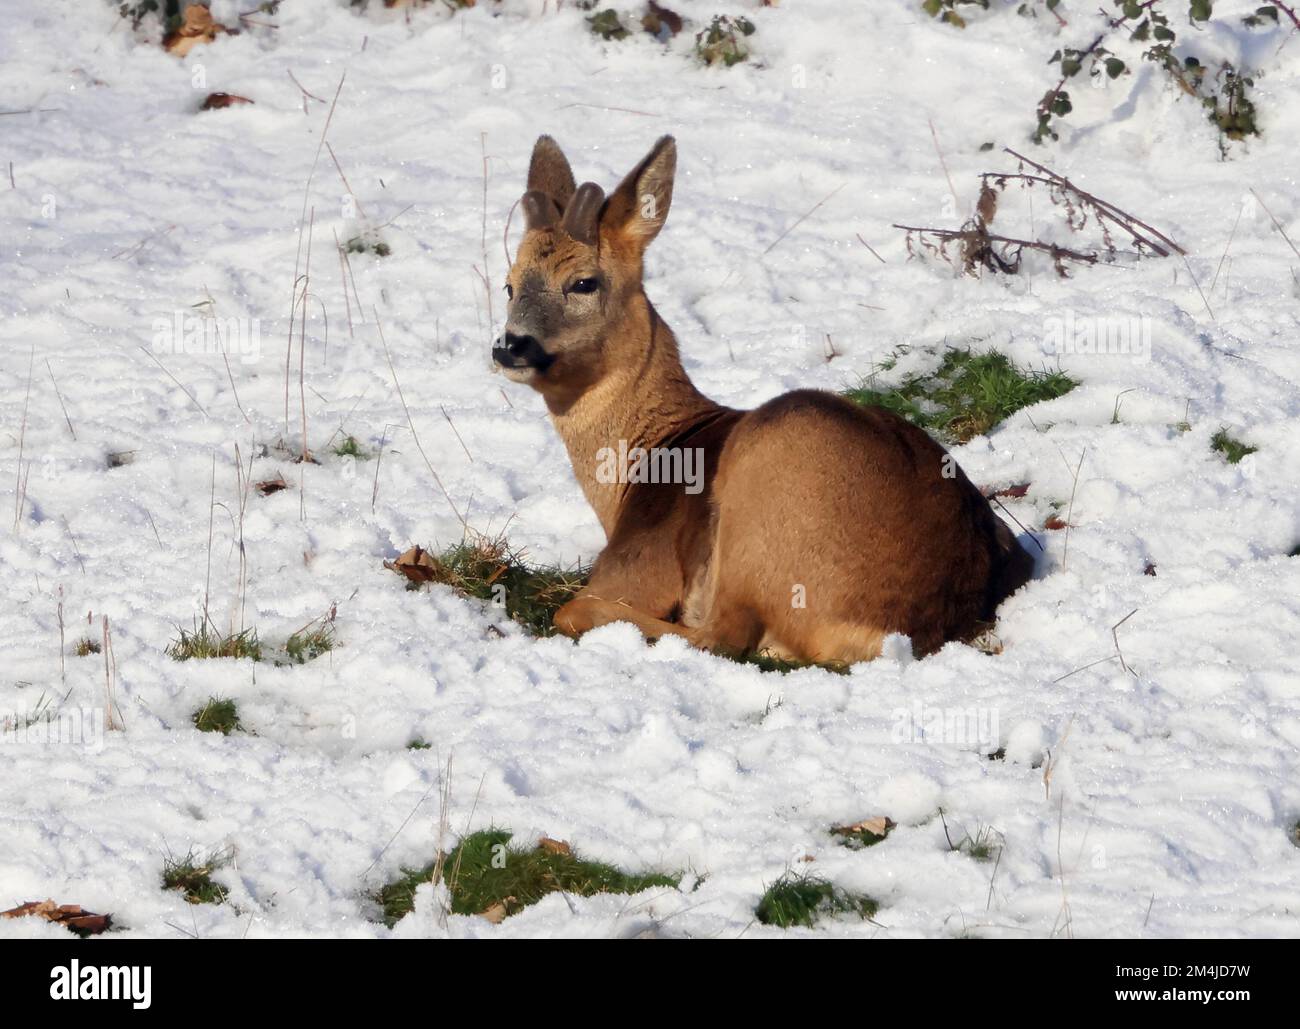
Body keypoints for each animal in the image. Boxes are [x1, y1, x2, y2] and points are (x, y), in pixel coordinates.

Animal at [492, 135, 1035, 665]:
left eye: (584, 282)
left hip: (765, 477)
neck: (648, 459)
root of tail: (908, 633)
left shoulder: (641, 565)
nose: (509, 345)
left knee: (713, 634)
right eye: (508, 286)